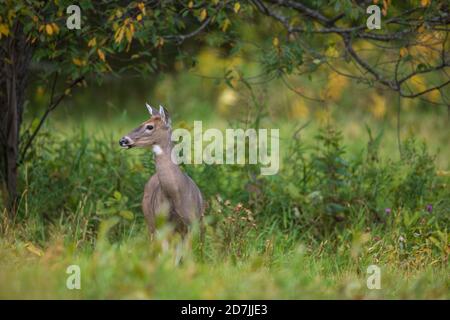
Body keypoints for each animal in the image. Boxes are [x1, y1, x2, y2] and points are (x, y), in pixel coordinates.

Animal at [118, 104, 205, 239]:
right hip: (150, 222)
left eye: (150, 126)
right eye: (142, 122)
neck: (176, 194)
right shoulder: (161, 224)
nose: (123, 140)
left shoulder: (192, 222)